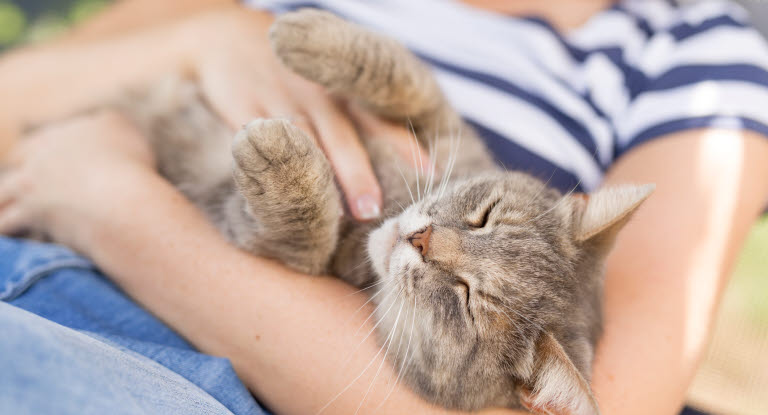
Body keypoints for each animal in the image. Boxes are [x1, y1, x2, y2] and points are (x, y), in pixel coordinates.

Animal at [114, 9, 656, 415]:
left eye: (467, 301)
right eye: (486, 215)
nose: (421, 238)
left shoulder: (280, 247)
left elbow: (299, 234)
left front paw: (282, 161)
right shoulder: (445, 129)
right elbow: (407, 77)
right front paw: (306, 34)